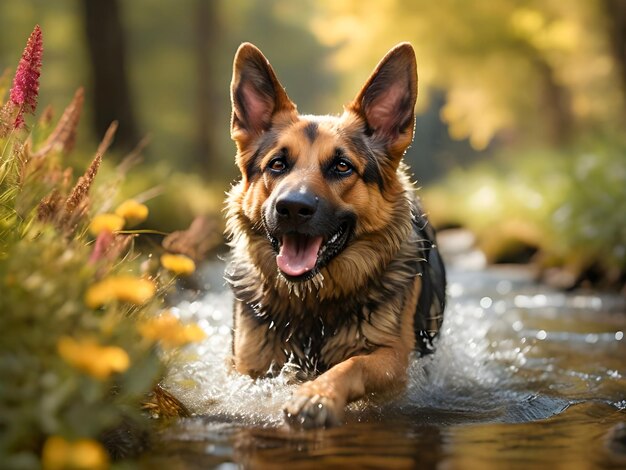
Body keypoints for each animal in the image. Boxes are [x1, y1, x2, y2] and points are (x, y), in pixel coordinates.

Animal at [224, 42, 444, 428]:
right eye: (277, 164)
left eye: (342, 167)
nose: (292, 208)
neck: (313, 305)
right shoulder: (246, 366)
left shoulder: (392, 359)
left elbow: (351, 364)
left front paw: (317, 395)